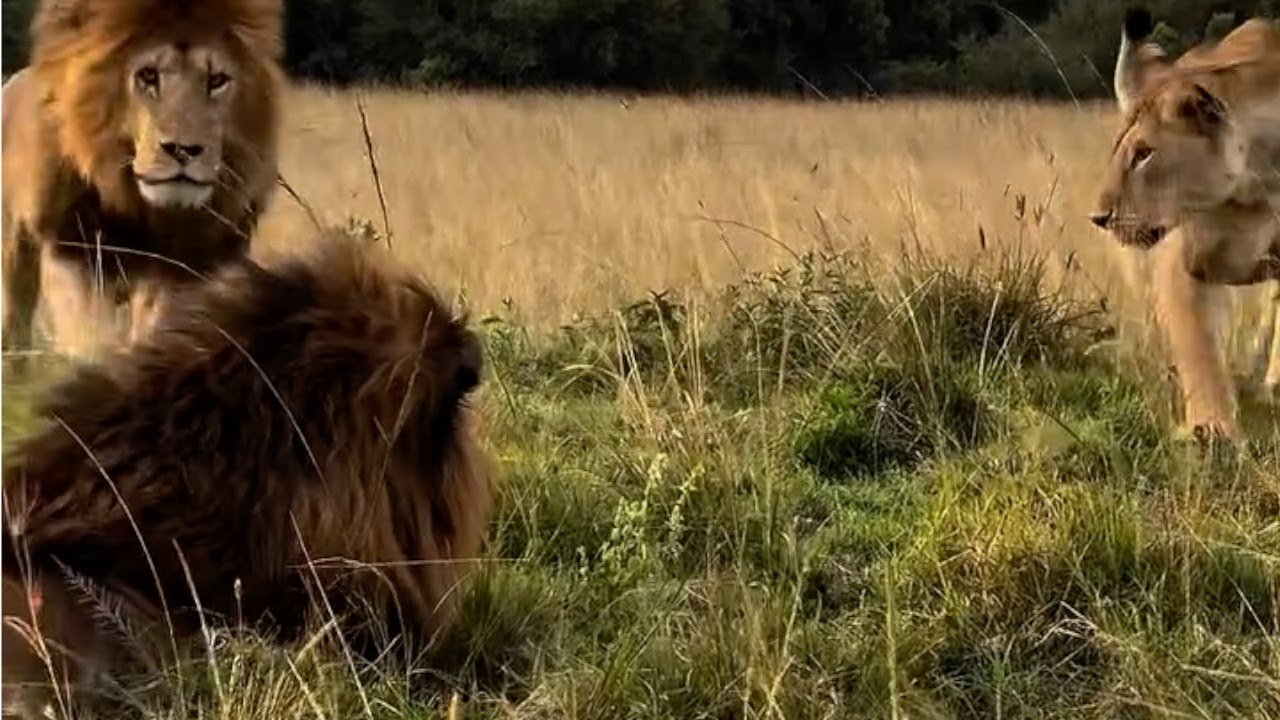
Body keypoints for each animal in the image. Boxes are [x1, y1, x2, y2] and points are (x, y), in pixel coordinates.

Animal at [1, 0, 284, 364]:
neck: (145, 209)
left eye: (217, 80)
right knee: (15, 322)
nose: (184, 149)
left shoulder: (187, 267)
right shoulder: (72, 249)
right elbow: (92, 334)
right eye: (148, 76)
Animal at [1091, 8, 1280, 440]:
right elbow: (1199, 349)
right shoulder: (1184, 261)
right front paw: (1211, 430)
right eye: (1118, 151)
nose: (1099, 217)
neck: (1255, 189)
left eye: (1143, 154)